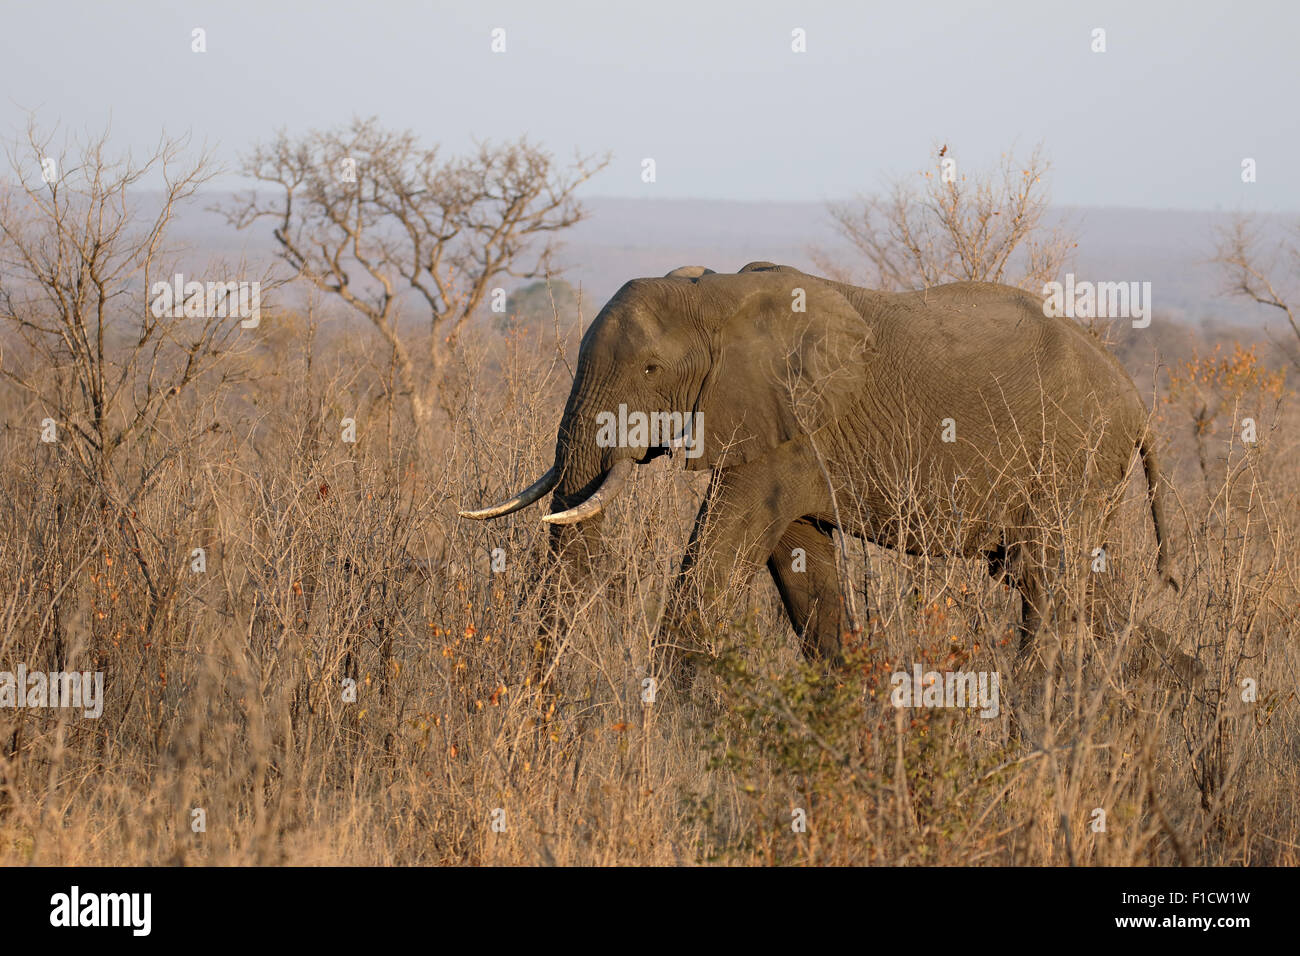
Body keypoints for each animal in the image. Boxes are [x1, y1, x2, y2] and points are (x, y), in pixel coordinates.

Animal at [462, 261, 1185, 686]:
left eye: (649, 369)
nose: (544, 705)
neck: (715, 291)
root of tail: (1137, 399)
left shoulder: (787, 428)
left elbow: (718, 561)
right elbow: (802, 567)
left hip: (1073, 463)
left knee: (1049, 582)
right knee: (1080, 589)